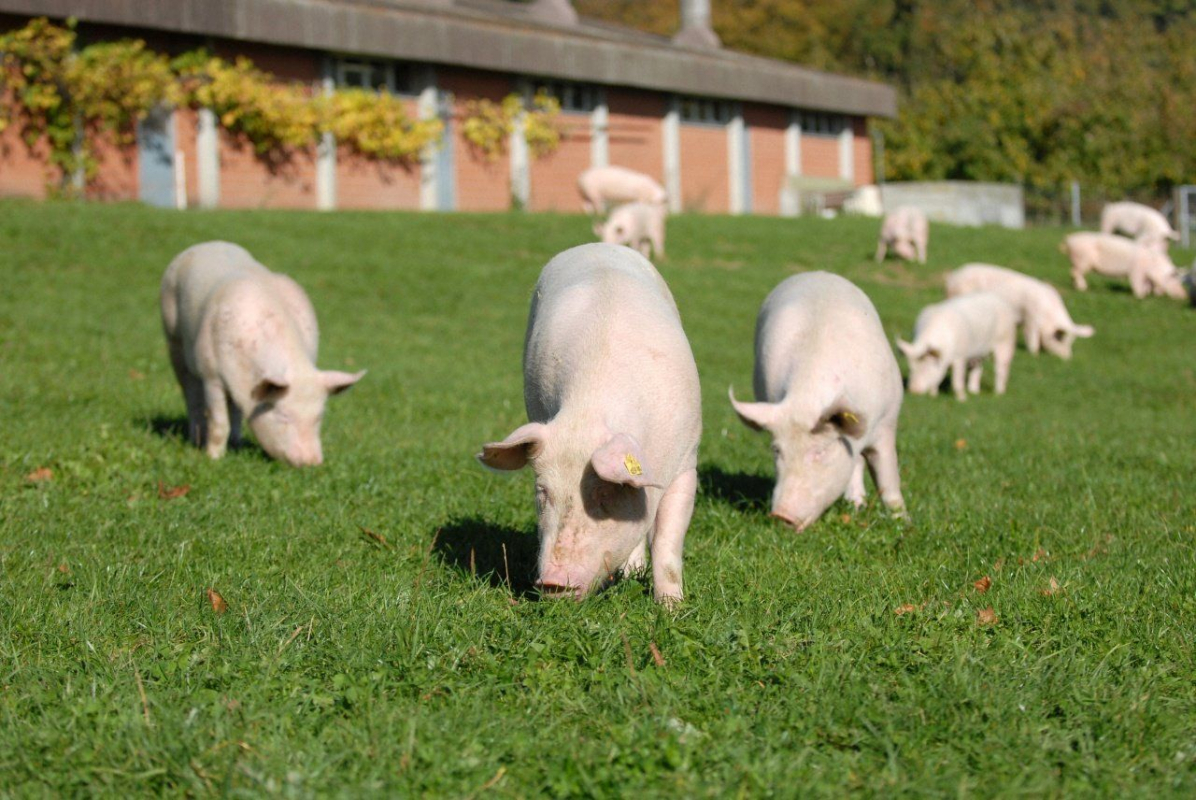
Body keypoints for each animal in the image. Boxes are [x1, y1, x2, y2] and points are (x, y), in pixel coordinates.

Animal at [159, 240, 363, 463]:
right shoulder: (211, 375)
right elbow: (219, 420)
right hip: (172, 335)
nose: (311, 463)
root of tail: (208, 244)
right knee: (190, 392)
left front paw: (234, 448)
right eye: (283, 415)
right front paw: (213, 458)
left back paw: (235, 443)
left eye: (319, 416)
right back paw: (196, 439)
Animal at [476, 243, 698, 605]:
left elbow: (667, 542)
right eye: (542, 492)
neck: (590, 412)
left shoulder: (686, 461)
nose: (552, 583)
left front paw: (672, 608)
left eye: (605, 494)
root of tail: (596, 246)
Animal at [727, 272, 904, 530]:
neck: (807, 399)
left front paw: (904, 523)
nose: (780, 515)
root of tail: (817, 274)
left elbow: (889, 483)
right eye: (777, 450)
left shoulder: (886, 423)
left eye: (820, 451)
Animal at [942, 261, 1095, 358]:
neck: (1047, 313)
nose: (1067, 358)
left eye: (1070, 342)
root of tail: (952, 279)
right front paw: (1034, 354)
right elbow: (1031, 337)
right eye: (1059, 338)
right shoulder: (1030, 317)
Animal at [1057, 230, 1186, 298]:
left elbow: (1149, 284)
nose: (1184, 295)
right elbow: (1137, 282)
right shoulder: (1136, 270)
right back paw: (1082, 288)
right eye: (1174, 279)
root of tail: (1069, 239)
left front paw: (1149, 293)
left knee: (1073, 272)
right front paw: (1141, 296)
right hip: (1083, 260)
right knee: (1075, 272)